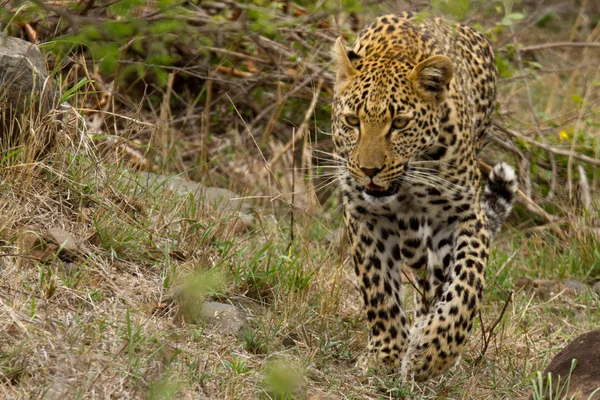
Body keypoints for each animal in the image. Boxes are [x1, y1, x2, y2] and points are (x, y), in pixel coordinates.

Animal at [330, 12, 516, 382]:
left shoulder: (464, 216)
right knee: (421, 277)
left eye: (400, 123)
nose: (369, 170)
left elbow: (465, 286)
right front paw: (386, 352)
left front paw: (432, 352)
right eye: (352, 121)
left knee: (438, 280)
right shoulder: (362, 214)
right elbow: (377, 286)